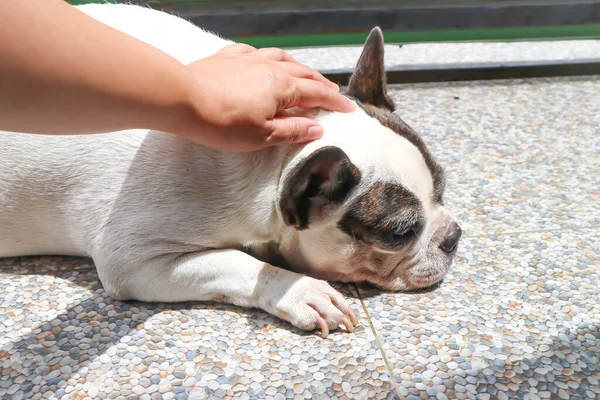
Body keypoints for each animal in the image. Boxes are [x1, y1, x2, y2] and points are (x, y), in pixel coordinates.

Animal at [0, 3, 464, 338]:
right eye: (400, 233)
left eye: (442, 189)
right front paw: (303, 292)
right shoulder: (133, 259)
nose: (453, 237)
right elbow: (236, 263)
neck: (273, 158)